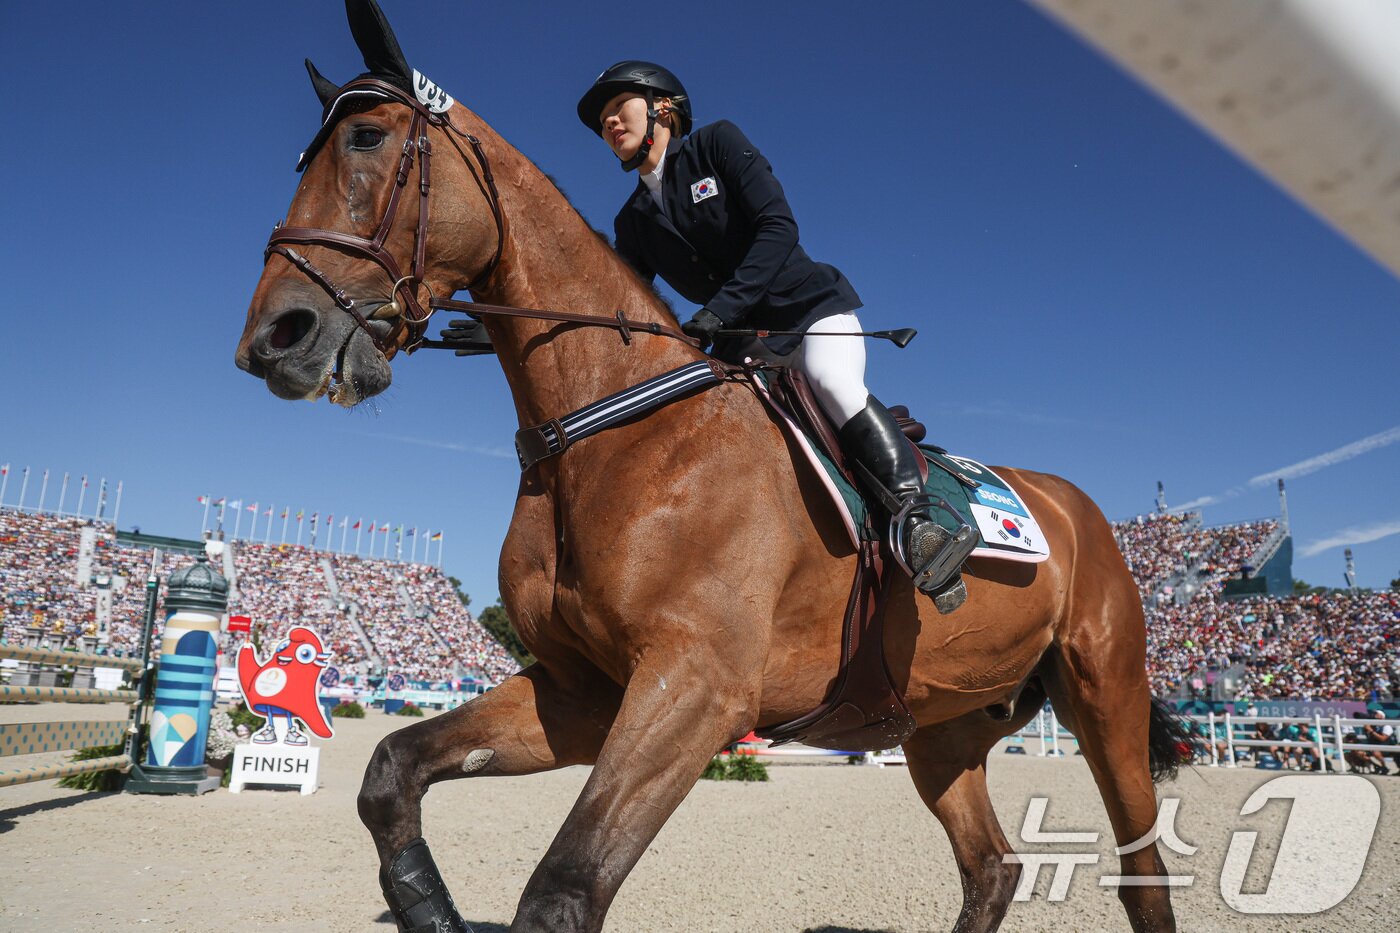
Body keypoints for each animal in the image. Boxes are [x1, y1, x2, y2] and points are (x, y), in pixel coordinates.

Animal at [235, 3, 1187, 924]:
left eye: (367, 139)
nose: (273, 340)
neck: (606, 426)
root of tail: (1080, 509)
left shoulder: (695, 687)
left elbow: (564, 888)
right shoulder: (584, 693)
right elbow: (391, 770)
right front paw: (426, 903)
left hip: (1106, 692)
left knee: (1142, 875)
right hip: (941, 721)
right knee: (990, 867)